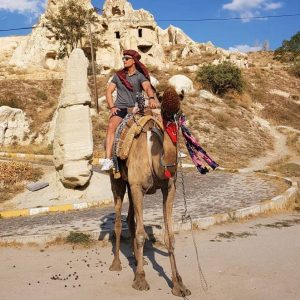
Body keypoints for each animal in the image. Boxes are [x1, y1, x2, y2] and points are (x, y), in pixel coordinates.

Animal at [109, 87, 191, 298]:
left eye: (179, 111)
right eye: (164, 111)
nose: (172, 127)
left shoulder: (169, 188)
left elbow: (169, 236)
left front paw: (179, 285)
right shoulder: (138, 186)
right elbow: (140, 234)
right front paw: (140, 280)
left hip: (131, 187)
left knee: (130, 219)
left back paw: (140, 260)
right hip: (118, 181)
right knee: (119, 220)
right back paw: (116, 264)